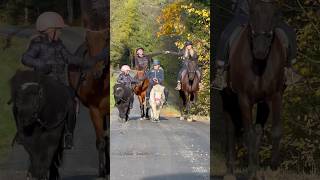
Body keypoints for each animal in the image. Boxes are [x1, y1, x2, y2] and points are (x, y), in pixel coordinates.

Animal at [222, 0, 288, 177]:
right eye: (252, 14)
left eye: (273, 15)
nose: (260, 51)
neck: (259, 65)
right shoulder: (244, 98)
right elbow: (249, 133)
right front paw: (251, 169)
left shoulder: (275, 96)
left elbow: (275, 130)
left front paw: (273, 167)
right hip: (228, 98)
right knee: (231, 129)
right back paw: (231, 170)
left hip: (263, 102)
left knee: (258, 129)